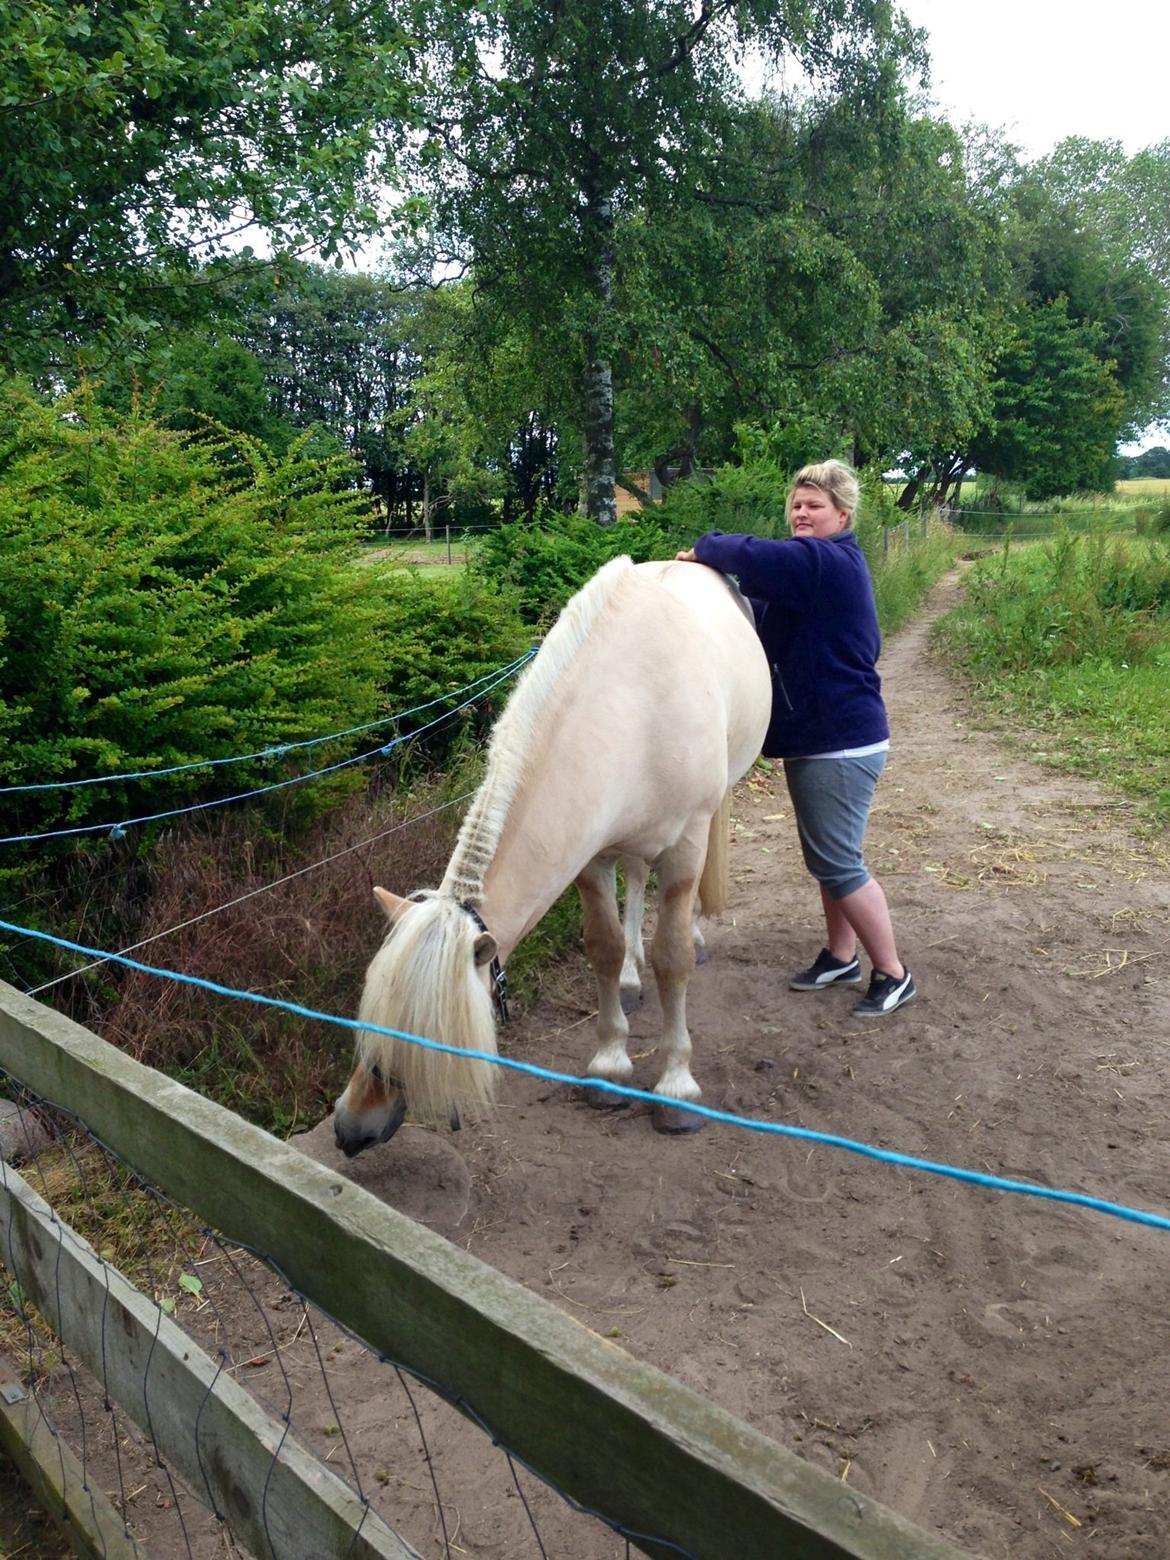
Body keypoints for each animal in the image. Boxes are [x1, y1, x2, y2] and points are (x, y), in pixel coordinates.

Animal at [332, 555, 770, 1154]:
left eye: (424, 1032)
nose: (350, 1127)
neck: (634, 704)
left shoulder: (684, 848)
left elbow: (673, 958)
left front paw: (677, 1087)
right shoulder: (590, 856)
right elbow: (603, 947)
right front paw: (609, 1065)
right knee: (636, 881)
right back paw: (631, 981)